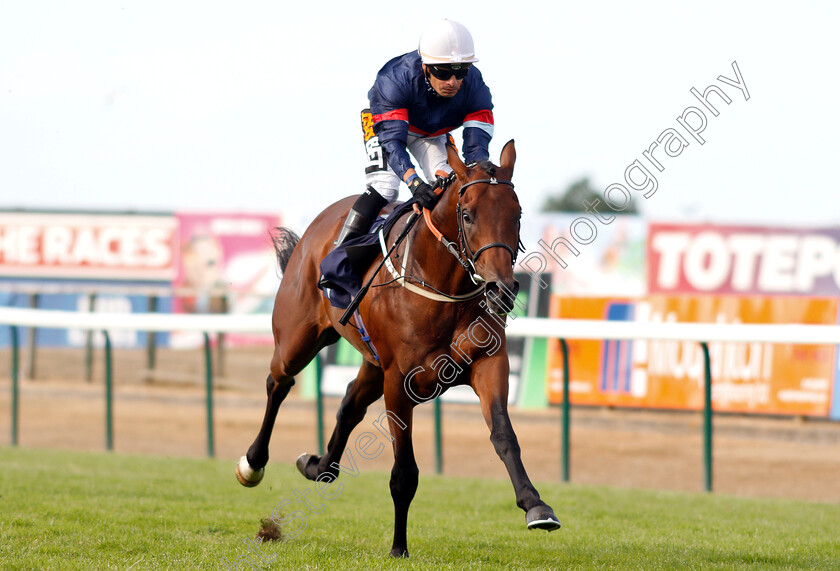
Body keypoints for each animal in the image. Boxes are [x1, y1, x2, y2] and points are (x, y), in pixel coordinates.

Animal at [235, 140, 556, 560]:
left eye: (517, 215)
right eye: (467, 215)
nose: (501, 289)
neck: (442, 287)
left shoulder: (488, 363)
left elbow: (504, 435)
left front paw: (536, 505)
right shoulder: (398, 382)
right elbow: (404, 473)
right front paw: (399, 547)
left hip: (372, 363)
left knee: (349, 404)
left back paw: (319, 466)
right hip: (297, 339)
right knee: (279, 382)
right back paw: (253, 464)